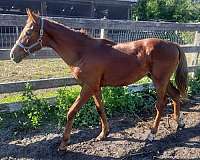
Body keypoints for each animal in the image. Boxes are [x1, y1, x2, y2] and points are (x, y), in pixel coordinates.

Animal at [9, 9, 188, 150]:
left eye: (28, 32)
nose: (13, 54)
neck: (83, 51)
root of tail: (173, 44)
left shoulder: (88, 87)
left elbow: (71, 112)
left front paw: (64, 143)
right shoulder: (95, 87)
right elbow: (100, 109)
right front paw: (103, 134)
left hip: (159, 81)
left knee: (161, 104)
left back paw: (152, 134)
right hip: (160, 79)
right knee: (175, 95)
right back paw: (179, 122)